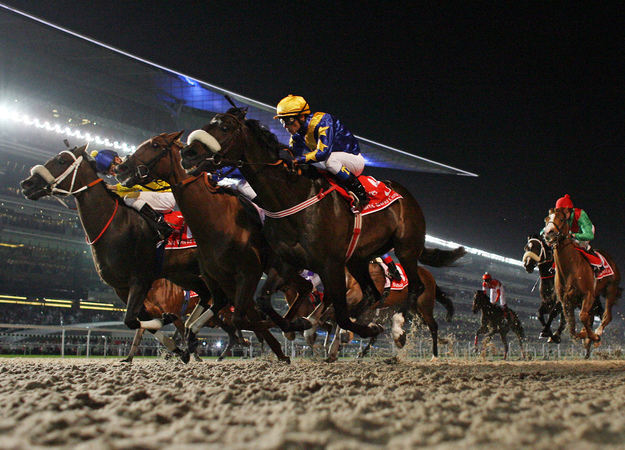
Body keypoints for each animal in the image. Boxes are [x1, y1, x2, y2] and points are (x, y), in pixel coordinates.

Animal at [18, 144, 241, 362]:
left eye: (62, 160)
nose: (27, 184)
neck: (115, 225)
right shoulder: (121, 287)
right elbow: (139, 322)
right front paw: (177, 349)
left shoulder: (140, 278)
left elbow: (132, 320)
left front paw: (172, 334)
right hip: (183, 274)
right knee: (209, 296)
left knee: (221, 300)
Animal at [113, 131, 312, 362]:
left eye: (154, 145)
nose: (122, 168)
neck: (215, 218)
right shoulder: (219, 277)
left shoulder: (248, 273)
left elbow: (242, 318)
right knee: (304, 288)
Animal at [180, 107, 464, 342]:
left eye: (226, 127)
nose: (188, 153)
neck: (290, 195)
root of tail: (406, 195)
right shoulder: (287, 260)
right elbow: (264, 300)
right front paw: (297, 324)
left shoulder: (330, 264)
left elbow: (338, 313)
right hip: (358, 258)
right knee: (371, 294)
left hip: (406, 247)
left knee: (415, 287)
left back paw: (396, 326)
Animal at [540, 207, 620, 356]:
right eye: (546, 219)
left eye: (561, 219)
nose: (548, 233)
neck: (570, 267)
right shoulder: (565, 300)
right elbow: (571, 328)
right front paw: (584, 336)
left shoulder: (587, 294)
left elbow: (582, 317)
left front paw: (593, 336)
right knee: (593, 314)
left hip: (611, 289)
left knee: (607, 316)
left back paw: (598, 333)